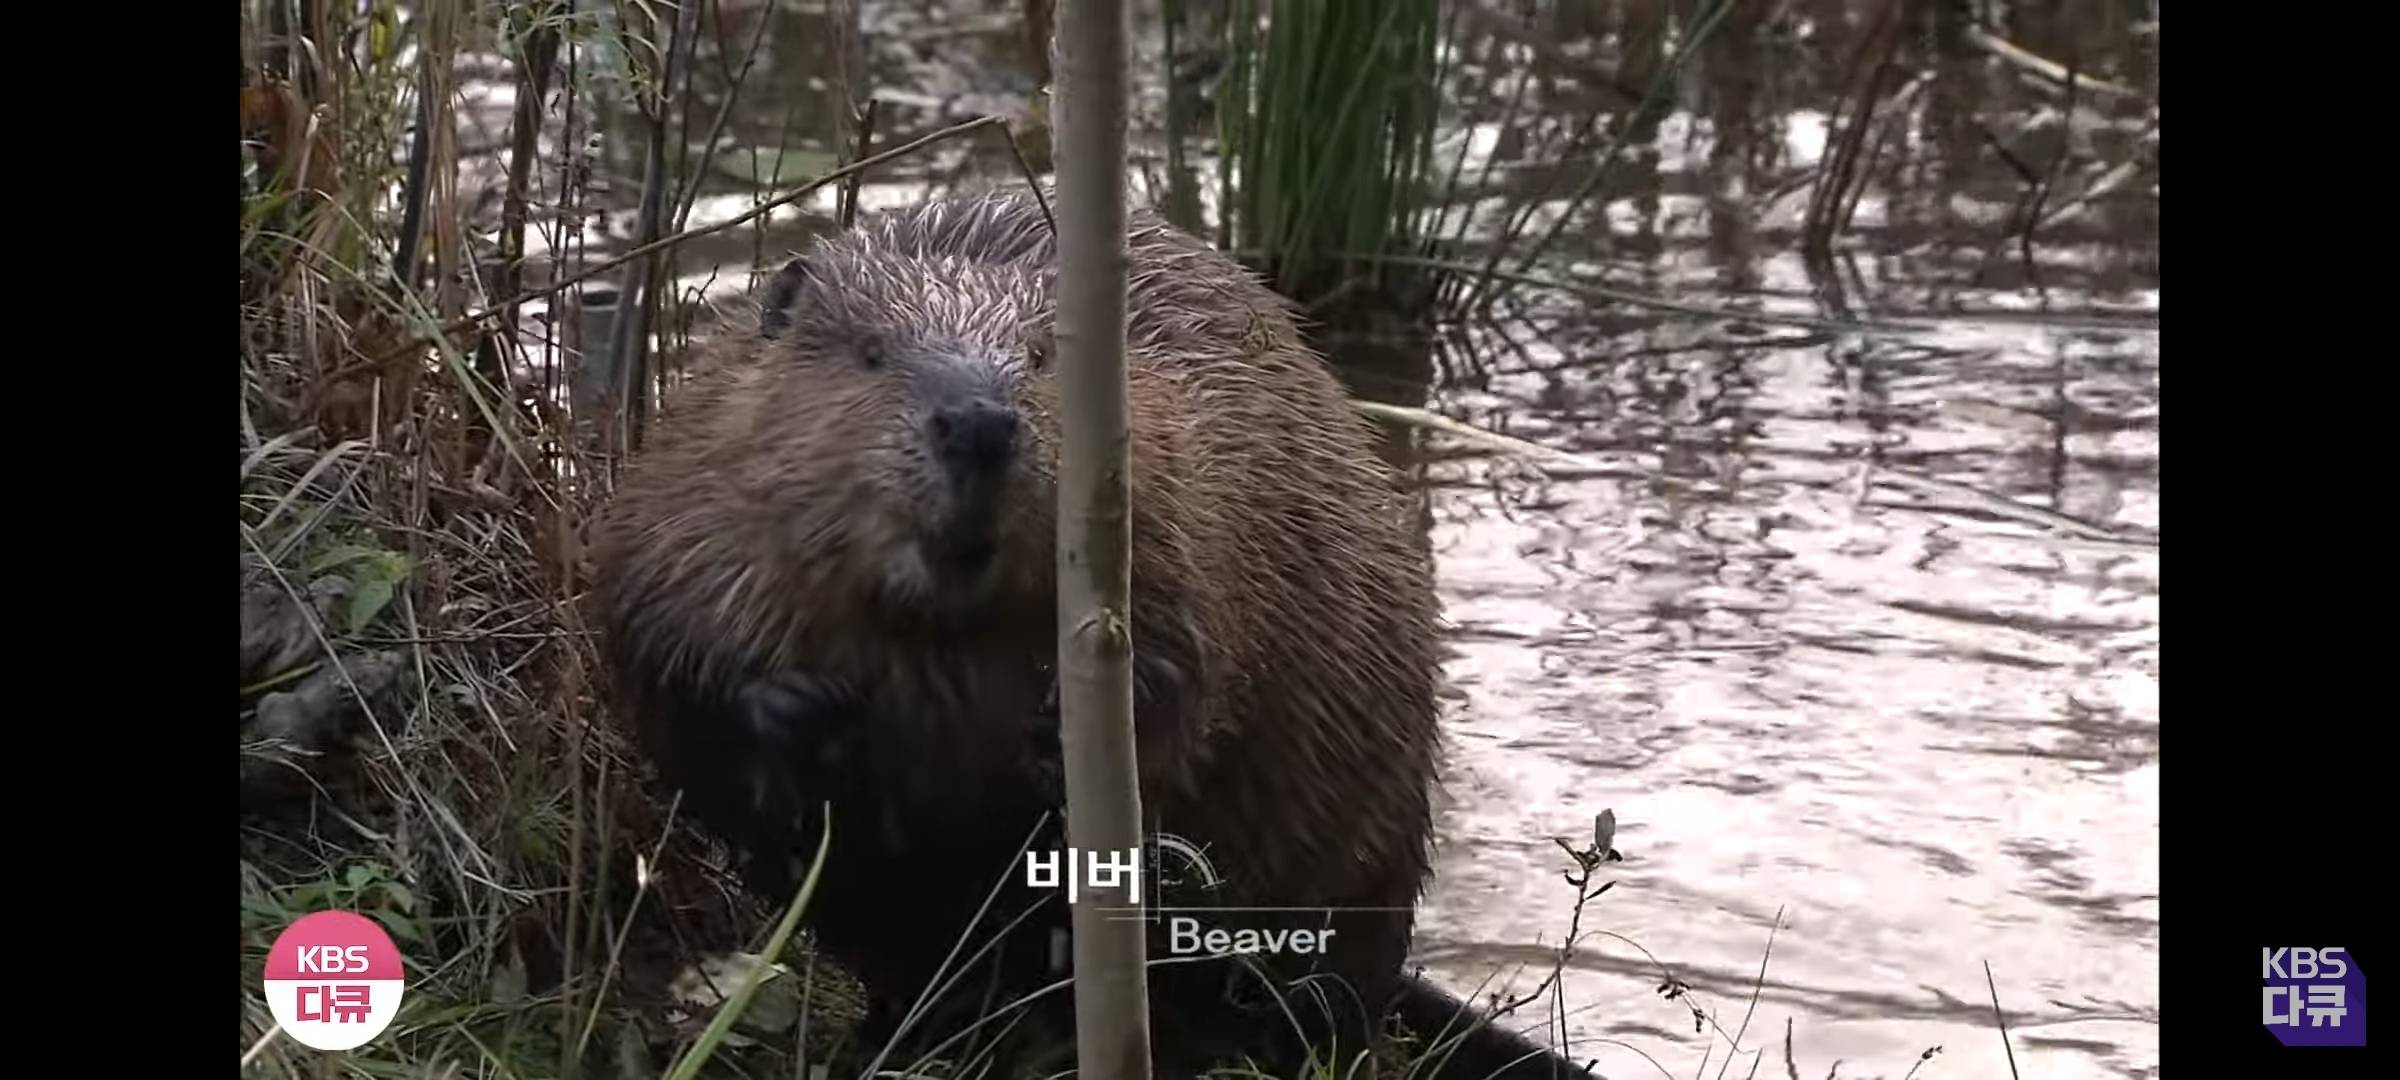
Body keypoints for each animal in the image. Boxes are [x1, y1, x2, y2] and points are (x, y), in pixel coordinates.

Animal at [588, 189, 1574, 1075]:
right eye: (870, 352)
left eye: (1038, 355)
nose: (979, 424)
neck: (941, 634)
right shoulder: (691, 479)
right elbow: (658, 636)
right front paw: (803, 704)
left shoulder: (1194, 492)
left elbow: (1195, 671)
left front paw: (1063, 726)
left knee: (1317, 997)